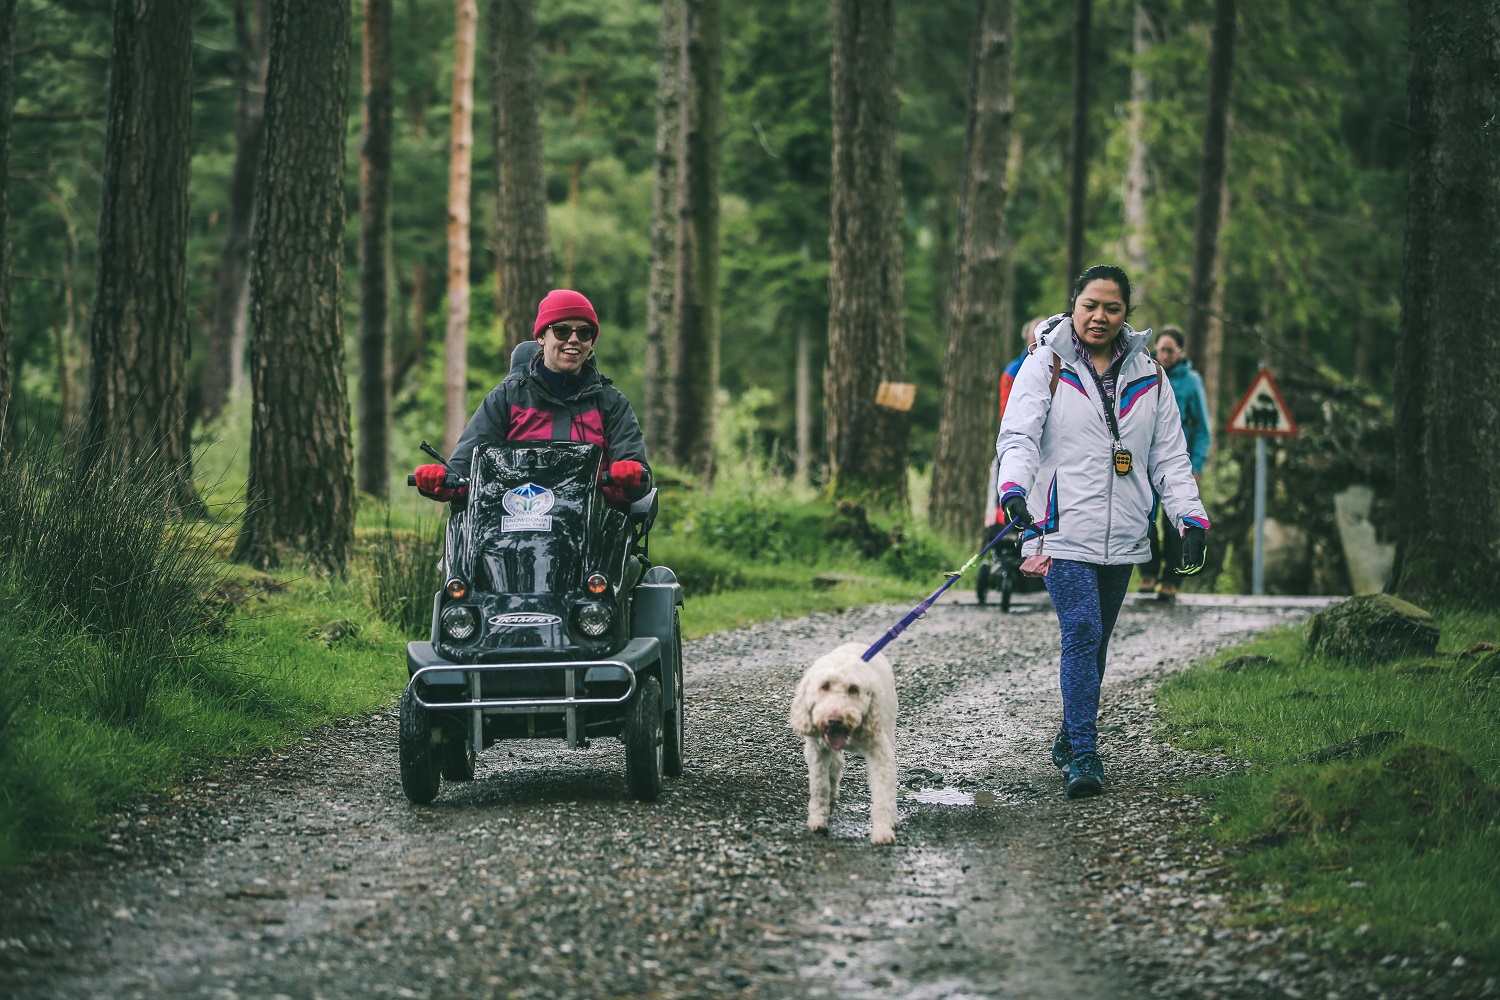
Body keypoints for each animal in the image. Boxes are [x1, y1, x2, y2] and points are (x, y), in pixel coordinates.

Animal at [792, 641, 894, 845]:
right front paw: (818, 820)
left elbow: (882, 793)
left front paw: (882, 830)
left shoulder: (880, 752)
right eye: (824, 686)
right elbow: (820, 786)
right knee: (836, 766)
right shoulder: (817, 750)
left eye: (853, 689)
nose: (835, 720)